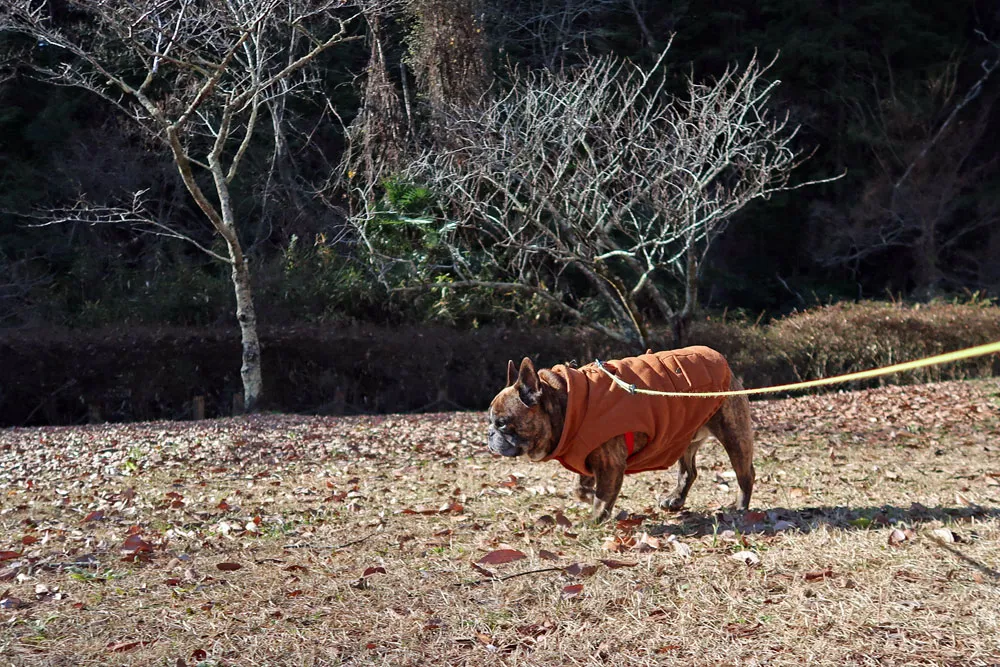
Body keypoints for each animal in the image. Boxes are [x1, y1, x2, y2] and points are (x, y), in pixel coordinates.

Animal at [488, 348, 752, 524]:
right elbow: (580, 488)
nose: (489, 434)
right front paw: (588, 496)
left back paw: (740, 508)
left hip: (734, 435)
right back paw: (675, 500)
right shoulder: (586, 457)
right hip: (684, 435)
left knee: (745, 475)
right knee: (689, 471)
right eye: (490, 420)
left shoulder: (610, 463)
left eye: (502, 423)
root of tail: (724, 361)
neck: (565, 404)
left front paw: (595, 519)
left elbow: (603, 496)